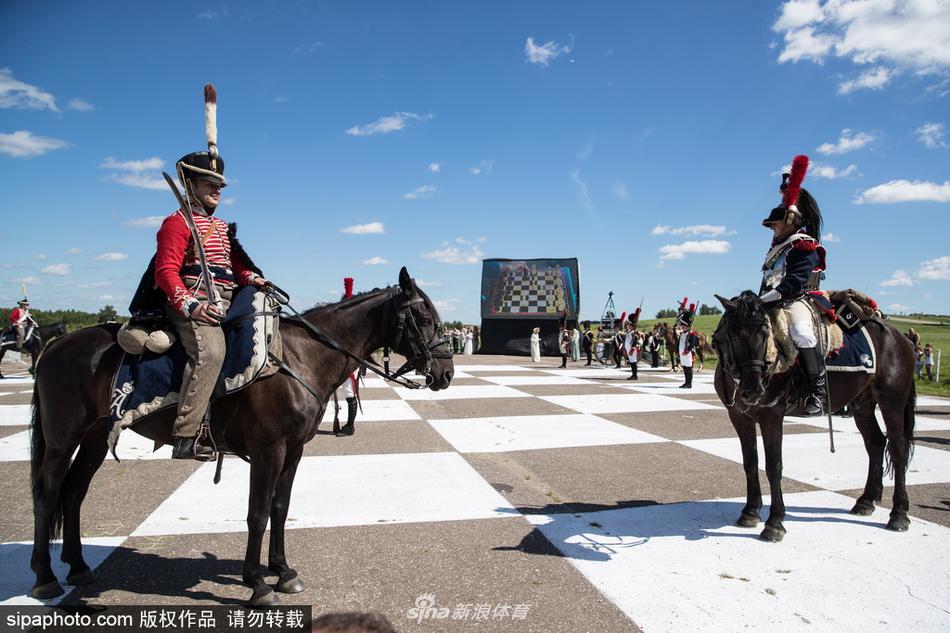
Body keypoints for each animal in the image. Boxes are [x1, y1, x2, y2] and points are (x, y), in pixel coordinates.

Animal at [31, 266, 456, 604]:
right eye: (424, 317)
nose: (446, 373)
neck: (300, 358)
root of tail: (55, 345)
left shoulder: (294, 451)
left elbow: (281, 508)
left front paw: (283, 571)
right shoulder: (269, 451)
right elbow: (257, 512)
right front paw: (257, 583)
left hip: (94, 438)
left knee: (74, 492)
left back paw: (78, 567)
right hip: (62, 439)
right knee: (47, 495)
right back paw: (45, 577)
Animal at [712, 290, 916, 540]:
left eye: (765, 332)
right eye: (733, 335)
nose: (753, 391)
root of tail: (901, 337)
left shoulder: (772, 416)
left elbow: (773, 466)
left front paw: (774, 523)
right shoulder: (740, 418)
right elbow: (750, 462)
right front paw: (750, 512)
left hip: (891, 402)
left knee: (898, 449)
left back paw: (899, 514)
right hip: (862, 405)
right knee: (876, 443)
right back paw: (866, 501)